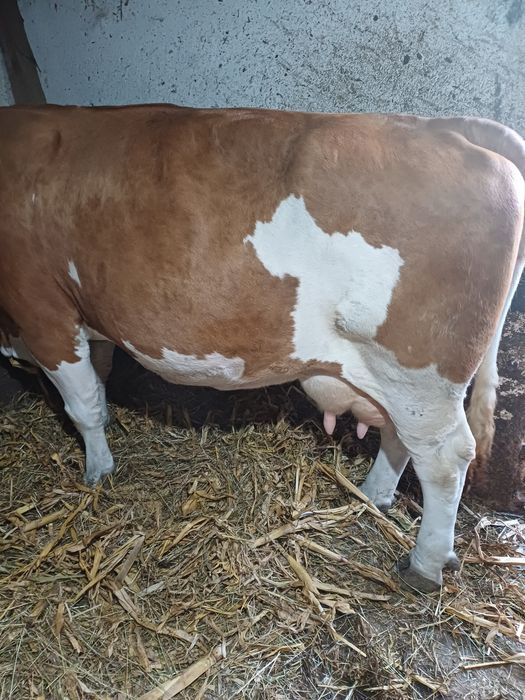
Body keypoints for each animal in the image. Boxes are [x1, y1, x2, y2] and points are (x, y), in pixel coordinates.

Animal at [0, 105, 523, 592]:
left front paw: (97, 471)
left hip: (419, 373)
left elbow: (84, 405)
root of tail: (444, 127)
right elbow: (102, 376)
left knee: (445, 458)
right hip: (395, 379)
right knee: (399, 437)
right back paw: (372, 495)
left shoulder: (43, 309)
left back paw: (424, 564)